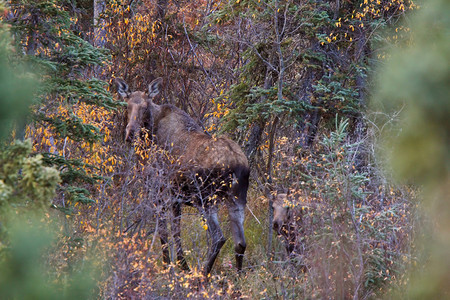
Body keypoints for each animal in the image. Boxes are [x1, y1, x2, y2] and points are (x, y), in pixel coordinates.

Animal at [114, 77, 250, 274]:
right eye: (127, 105)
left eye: (145, 107)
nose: (130, 133)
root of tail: (237, 164)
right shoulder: (175, 198)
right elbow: (176, 231)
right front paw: (180, 264)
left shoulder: (160, 192)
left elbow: (165, 230)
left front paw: (170, 265)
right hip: (237, 198)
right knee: (240, 242)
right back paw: (238, 277)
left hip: (205, 199)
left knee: (219, 237)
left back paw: (202, 274)